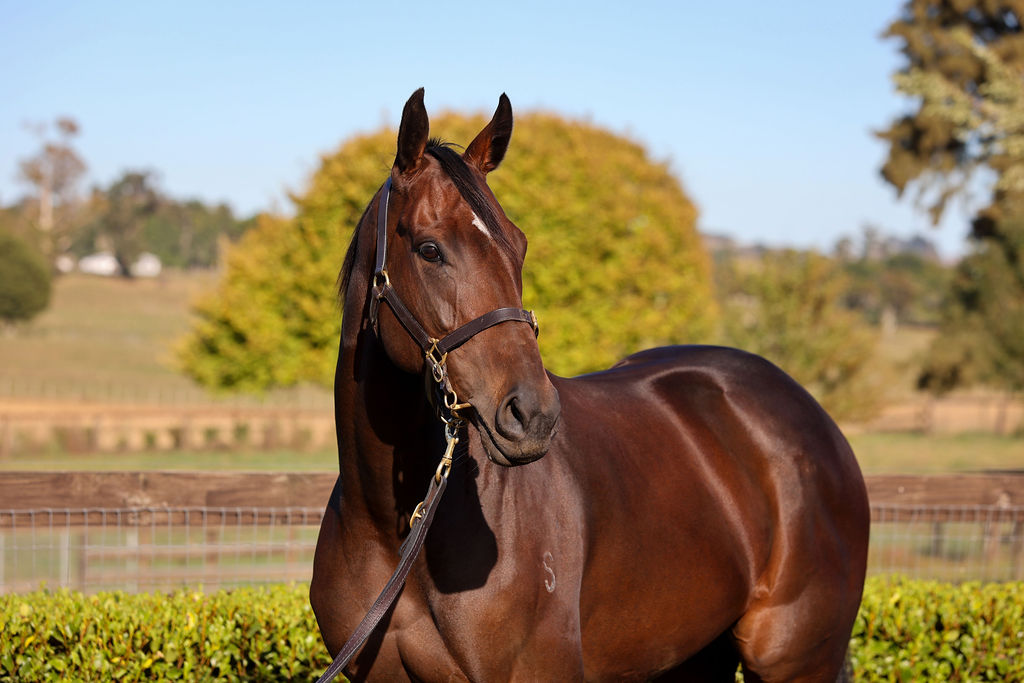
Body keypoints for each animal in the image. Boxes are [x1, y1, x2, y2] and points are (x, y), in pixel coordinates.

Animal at [310, 88, 870, 682]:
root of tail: (817, 422)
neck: (394, 533)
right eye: (429, 249)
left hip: (796, 661)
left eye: (519, 245)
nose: (532, 415)